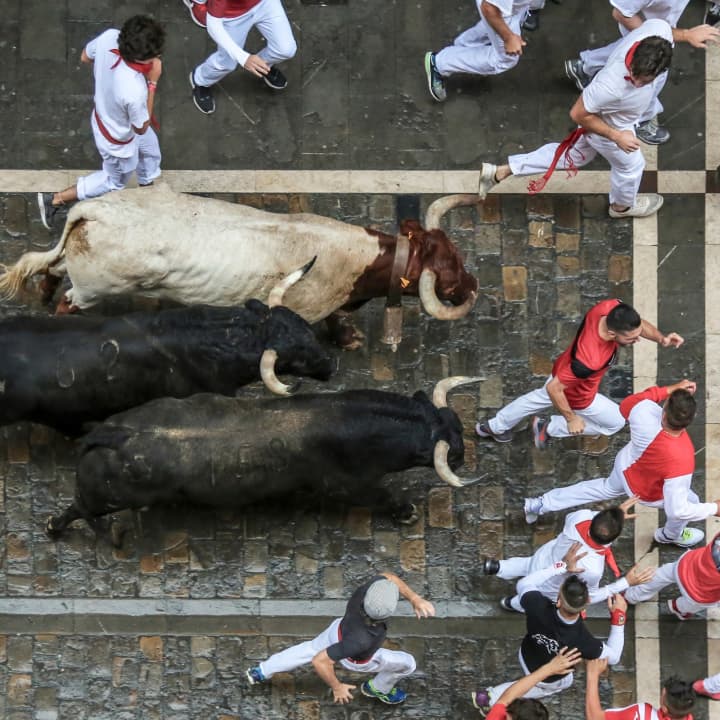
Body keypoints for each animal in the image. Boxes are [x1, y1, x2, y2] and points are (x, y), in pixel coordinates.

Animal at [0, 185, 479, 349]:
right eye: (449, 273)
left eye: (457, 254)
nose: (473, 284)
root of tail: (92, 211)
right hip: (94, 289)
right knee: (67, 303)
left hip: (77, 267)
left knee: (52, 271)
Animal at [45, 376, 482, 541]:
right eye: (453, 447)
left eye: (456, 426)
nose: (463, 456)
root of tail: (111, 432)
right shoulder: (353, 485)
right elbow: (385, 497)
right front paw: (406, 511)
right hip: (107, 497)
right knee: (78, 508)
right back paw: (55, 527)